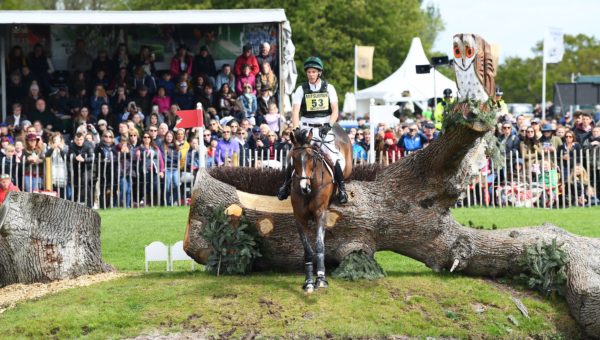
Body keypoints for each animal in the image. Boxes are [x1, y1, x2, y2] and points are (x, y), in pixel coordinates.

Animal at [290, 123, 354, 294]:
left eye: (311, 157)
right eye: (293, 157)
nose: (304, 188)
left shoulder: (320, 213)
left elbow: (319, 245)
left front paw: (320, 279)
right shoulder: (299, 217)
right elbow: (307, 249)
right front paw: (309, 282)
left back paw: (342, 193)